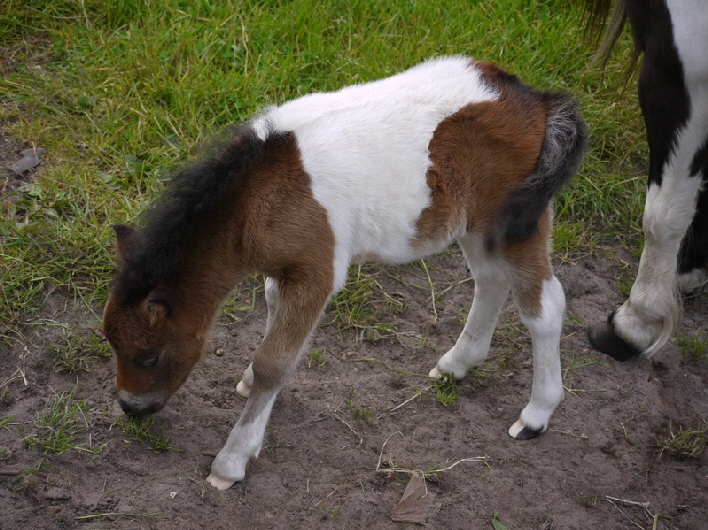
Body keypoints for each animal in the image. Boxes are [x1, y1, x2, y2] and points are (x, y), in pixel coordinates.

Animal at [101, 55, 588, 488]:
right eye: (112, 344)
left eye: (149, 356)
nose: (131, 407)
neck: (260, 202)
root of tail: (537, 101)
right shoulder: (286, 268)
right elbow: (275, 322)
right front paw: (251, 387)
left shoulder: (316, 271)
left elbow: (275, 362)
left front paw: (232, 460)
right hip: (476, 226)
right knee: (490, 282)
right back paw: (456, 364)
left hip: (516, 222)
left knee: (544, 307)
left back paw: (535, 415)